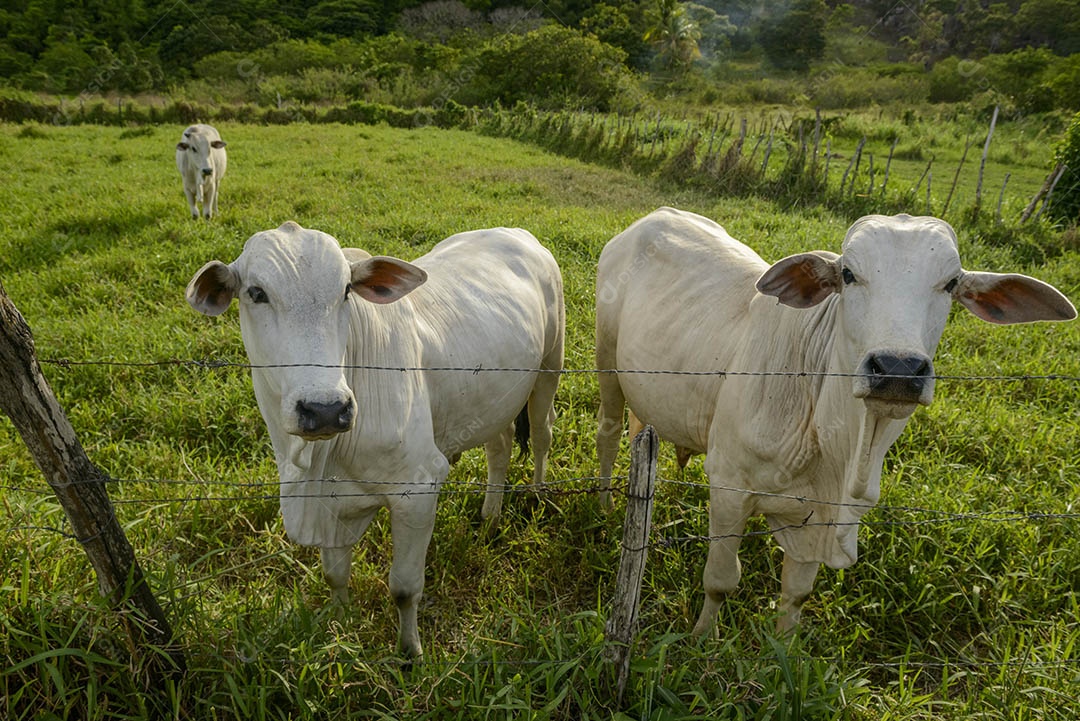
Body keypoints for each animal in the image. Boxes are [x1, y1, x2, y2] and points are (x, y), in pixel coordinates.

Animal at [186, 221, 564, 658]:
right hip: (497, 399)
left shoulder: (418, 489)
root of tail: (516, 231)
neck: (314, 463)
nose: (325, 409)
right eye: (256, 292)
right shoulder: (331, 506)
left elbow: (404, 587)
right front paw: (340, 623)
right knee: (499, 446)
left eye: (346, 290)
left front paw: (410, 651)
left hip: (550, 368)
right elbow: (335, 576)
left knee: (542, 433)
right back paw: (490, 516)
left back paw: (536, 493)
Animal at [595, 207, 1075, 636]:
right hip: (607, 364)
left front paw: (782, 649)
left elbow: (795, 594)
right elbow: (720, 581)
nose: (898, 368)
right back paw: (605, 508)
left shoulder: (819, 519)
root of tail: (651, 218)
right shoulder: (729, 487)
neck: (838, 450)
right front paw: (701, 641)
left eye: (951, 283)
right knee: (609, 433)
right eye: (848, 274)